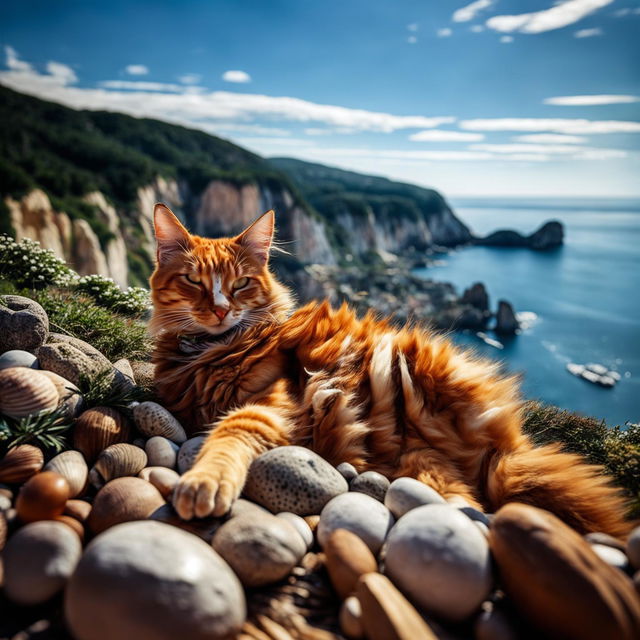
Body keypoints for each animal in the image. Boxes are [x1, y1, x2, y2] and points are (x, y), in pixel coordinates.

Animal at [150, 205, 632, 536]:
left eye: (241, 284)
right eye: (193, 281)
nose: (220, 309)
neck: (210, 351)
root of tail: (505, 449)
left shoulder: (274, 404)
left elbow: (230, 432)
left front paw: (203, 482)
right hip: (424, 465)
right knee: (466, 502)